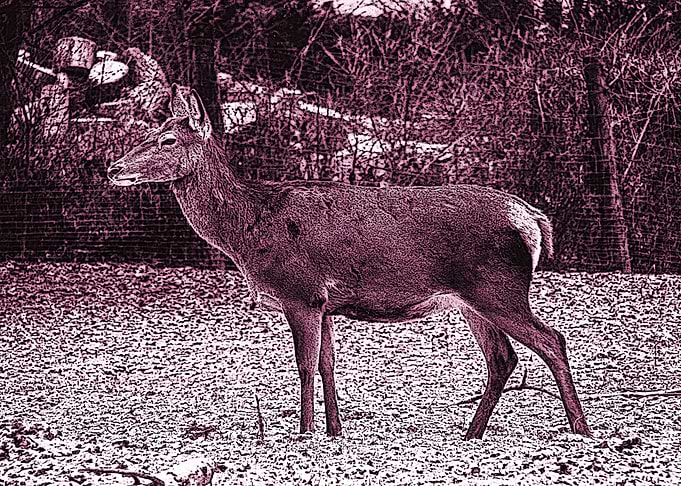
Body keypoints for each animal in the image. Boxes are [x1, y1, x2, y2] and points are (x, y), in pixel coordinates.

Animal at [107, 85, 591, 440]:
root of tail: (532, 219)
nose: (113, 168)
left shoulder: (300, 291)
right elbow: (327, 363)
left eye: (167, 139)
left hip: (499, 287)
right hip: (474, 300)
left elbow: (304, 364)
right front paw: (334, 429)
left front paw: (304, 431)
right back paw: (472, 432)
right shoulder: (325, 303)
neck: (250, 230)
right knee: (503, 358)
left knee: (552, 340)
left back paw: (580, 428)